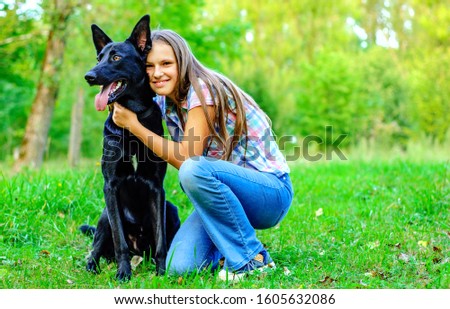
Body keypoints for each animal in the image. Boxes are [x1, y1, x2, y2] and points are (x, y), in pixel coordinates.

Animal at [81, 13, 180, 280]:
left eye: (116, 57)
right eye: (99, 58)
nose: (89, 76)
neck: (132, 120)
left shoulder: (157, 188)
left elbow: (161, 240)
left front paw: (161, 272)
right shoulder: (110, 186)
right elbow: (119, 241)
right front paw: (123, 273)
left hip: (171, 209)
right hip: (105, 215)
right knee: (96, 247)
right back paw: (92, 266)